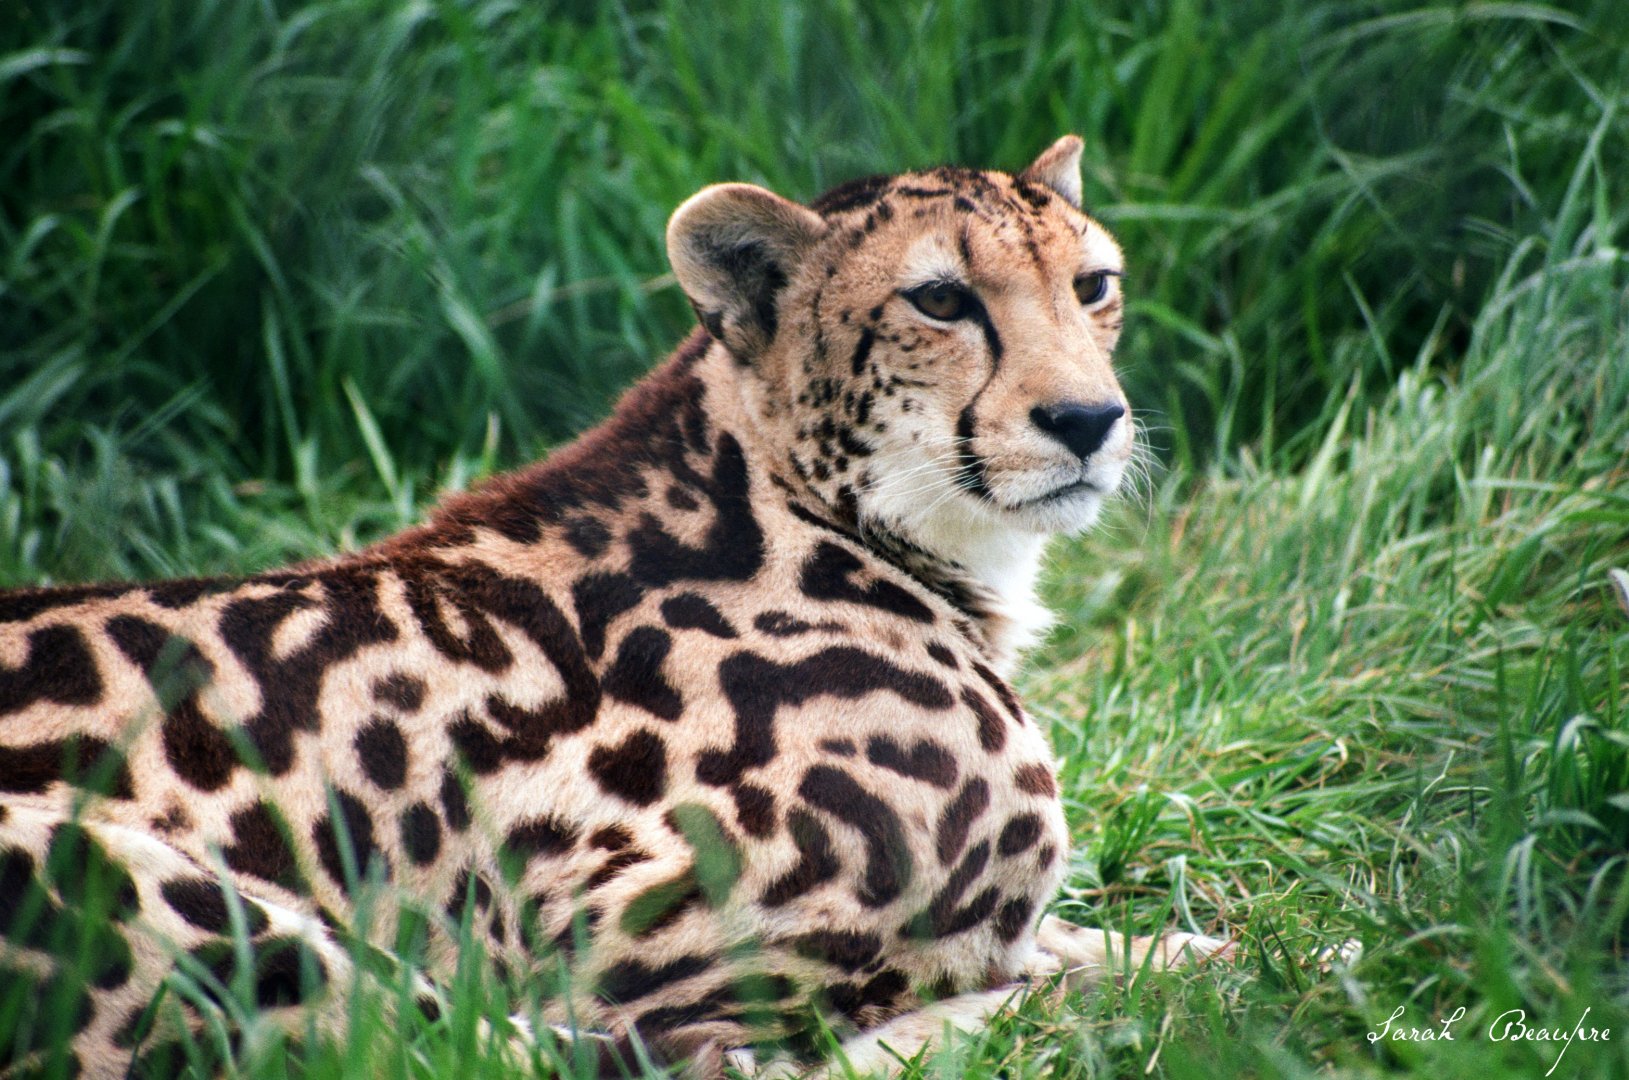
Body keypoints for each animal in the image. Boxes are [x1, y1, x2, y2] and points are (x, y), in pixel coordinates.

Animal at [0, 137, 1233, 1079]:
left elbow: (1091, 939)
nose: (1089, 420)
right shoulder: (608, 952)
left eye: (1093, 286)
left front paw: (1212, 953)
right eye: (941, 300)